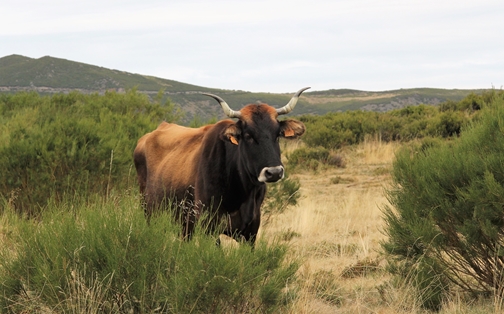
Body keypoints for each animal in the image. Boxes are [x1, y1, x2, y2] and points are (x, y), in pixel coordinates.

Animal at [134, 87, 308, 244]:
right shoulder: (209, 227)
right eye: (248, 135)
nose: (274, 172)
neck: (242, 191)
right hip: (149, 211)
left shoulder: (251, 232)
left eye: (277, 134)